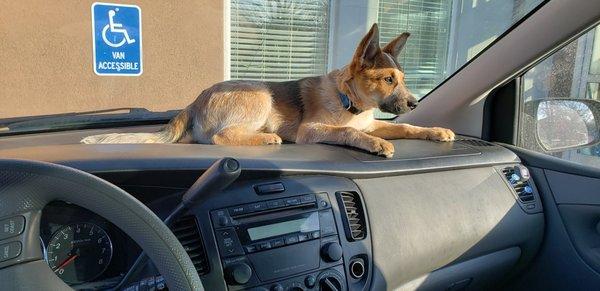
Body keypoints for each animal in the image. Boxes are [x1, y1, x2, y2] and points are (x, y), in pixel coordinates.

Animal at [81, 23, 454, 159]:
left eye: (402, 78)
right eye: (388, 79)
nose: (414, 102)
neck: (348, 100)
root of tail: (195, 100)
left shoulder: (372, 121)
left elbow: (407, 127)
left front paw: (436, 130)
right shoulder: (311, 130)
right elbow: (348, 131)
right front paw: (376, 144)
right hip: (260, 95)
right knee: (219, 137)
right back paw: (266, 138)